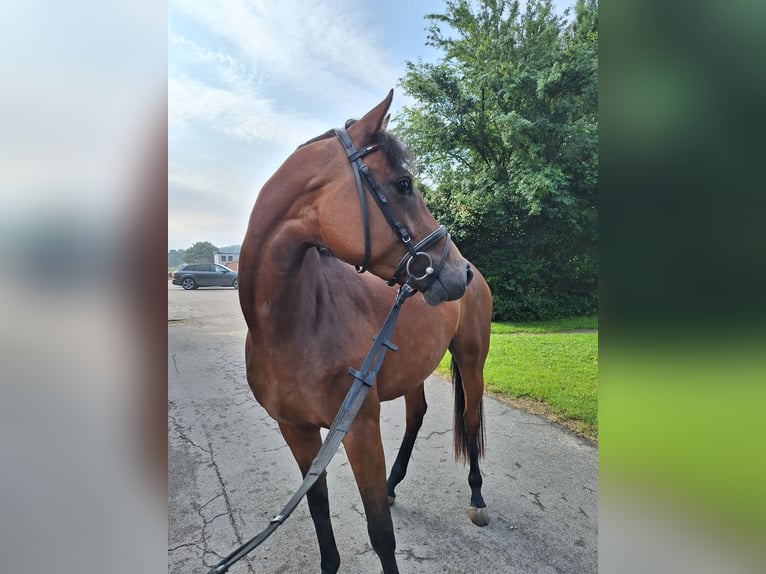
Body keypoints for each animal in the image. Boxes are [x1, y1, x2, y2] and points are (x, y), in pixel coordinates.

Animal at [237, 90, 496, 574]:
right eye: (403, 184)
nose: (458, 272)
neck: (289, 328)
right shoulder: (297, 431)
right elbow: (319, 512)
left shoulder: (358, 430)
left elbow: (380, 534)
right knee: (417, 415)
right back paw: (395, 483)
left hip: (471, 362)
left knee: (471, 420)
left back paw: (476, 497)